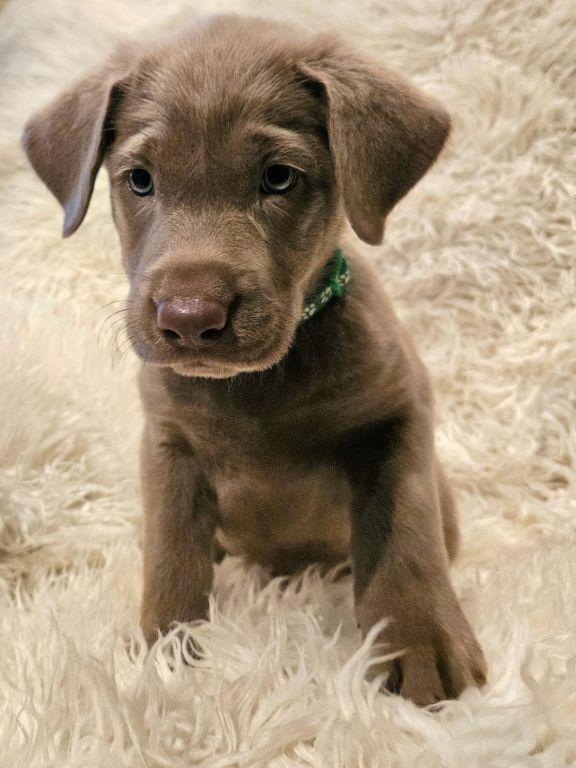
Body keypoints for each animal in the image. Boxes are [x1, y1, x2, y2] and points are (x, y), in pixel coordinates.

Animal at [24, 13, 488, 708]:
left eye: (278, 177)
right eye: (140, 179)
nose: (190, 317)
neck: (257, 388)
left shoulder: (399, 416)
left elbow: (404, 534)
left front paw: (422, 642)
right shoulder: (169, 446)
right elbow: (171, 555)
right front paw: (162, 655)